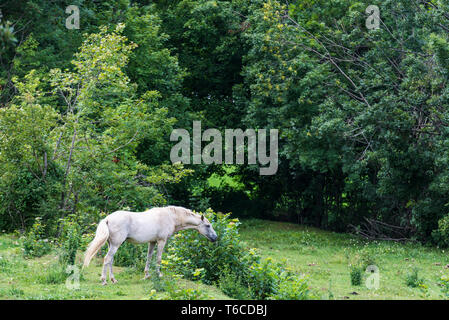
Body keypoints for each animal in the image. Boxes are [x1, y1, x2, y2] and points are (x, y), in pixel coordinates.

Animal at [84, 208, 219, 284]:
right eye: (208, 225)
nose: (215, 238)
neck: (171, 217)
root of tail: (107, 219)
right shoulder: (161, 241)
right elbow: (158, 259)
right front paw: (159, 275)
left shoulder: (152, 242)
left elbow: (149, 258)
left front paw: (147, 275)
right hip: (115, 245)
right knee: (107, 259)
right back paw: (104, 281)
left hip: (112, 245)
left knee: (110, 260)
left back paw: (113, 280)